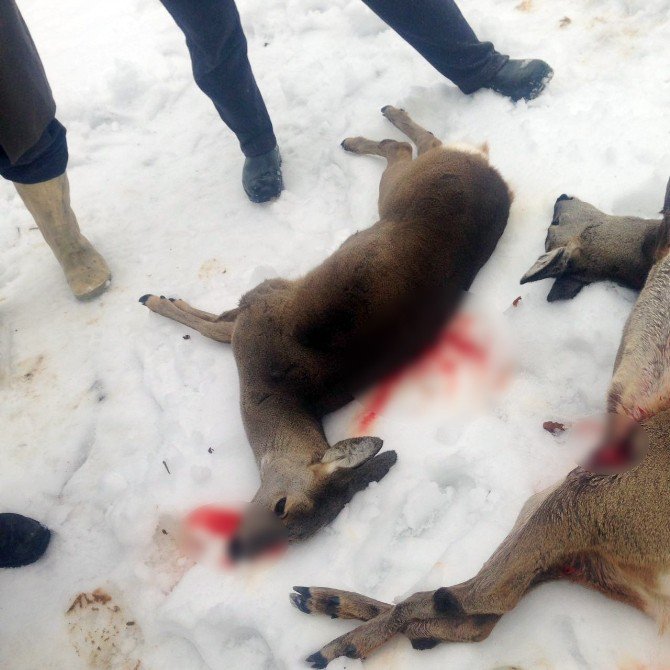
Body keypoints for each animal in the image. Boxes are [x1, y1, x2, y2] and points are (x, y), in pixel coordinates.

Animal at [139, 107, 512, 564]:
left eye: (292, 533)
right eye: (280, 506)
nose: (239, 549)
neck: (274, 388)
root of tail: (495, 180)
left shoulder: (259, 306)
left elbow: (212, 328)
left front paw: (156, 300)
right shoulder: (262, 298)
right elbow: (216, 323)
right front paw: (162, 298)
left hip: (398, 191)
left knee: (408, 147)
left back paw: (368, 131)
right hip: (403, 191)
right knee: (420, 144)